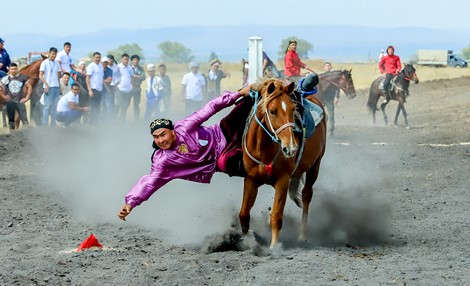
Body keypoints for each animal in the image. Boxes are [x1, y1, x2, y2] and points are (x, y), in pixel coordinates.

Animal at [241, 77, 324, 248]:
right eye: (272, 111)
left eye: (293, 109)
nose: (291, 147)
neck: (263, 148)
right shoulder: (250, 179)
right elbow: (244, 213)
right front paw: (246, 241)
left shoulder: (282, 180)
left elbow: (277, 216)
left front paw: (274, 246)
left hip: (315, 165)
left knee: (306, 195)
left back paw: (302, 234)